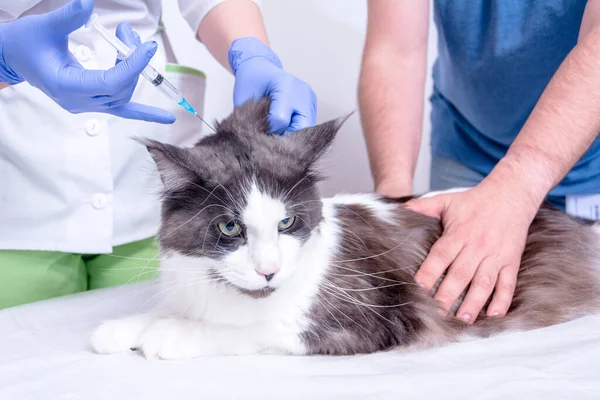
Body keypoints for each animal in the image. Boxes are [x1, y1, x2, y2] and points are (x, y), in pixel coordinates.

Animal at [91, 97, 600, 360]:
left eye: (287, 223)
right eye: (230, 228)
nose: (269, 271)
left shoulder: (366, 322)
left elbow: (254, 329)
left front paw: (171, 336)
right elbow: (167, 312)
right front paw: (120, 330)